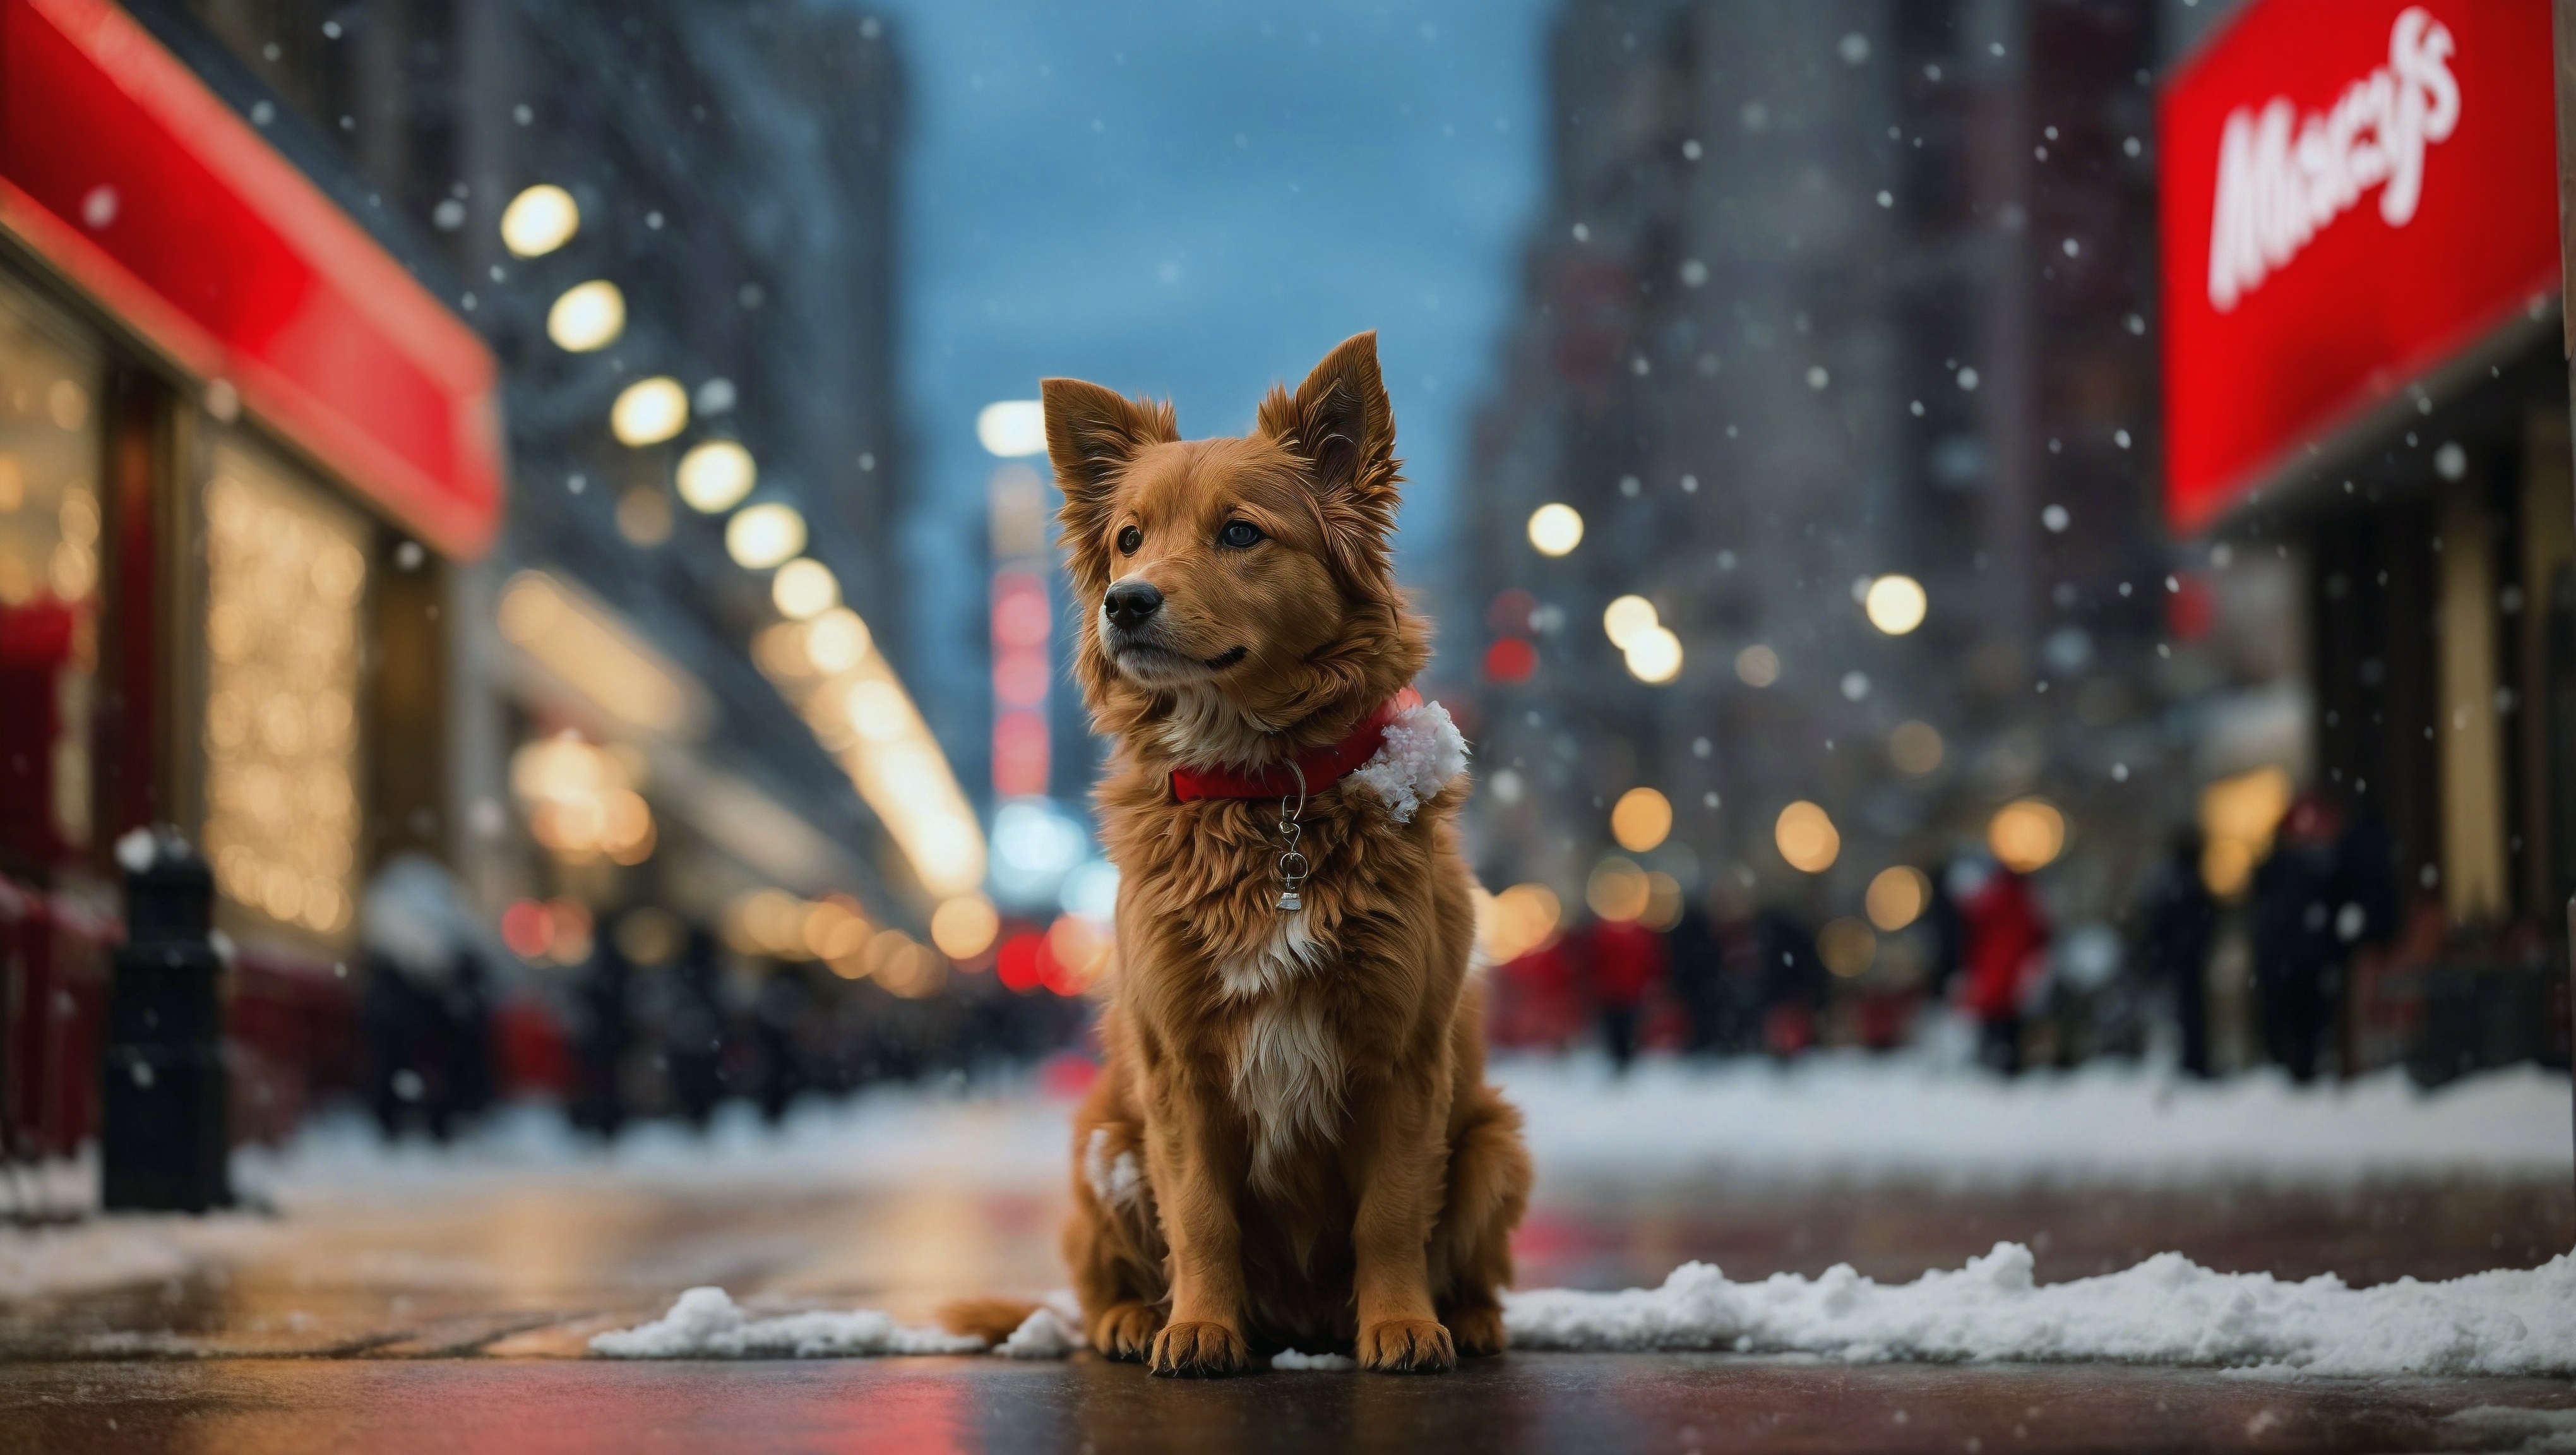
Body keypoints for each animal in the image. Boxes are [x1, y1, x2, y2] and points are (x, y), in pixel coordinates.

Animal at [948, 329, 1525, 1370]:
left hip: (1497, 1140)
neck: (1265, 794)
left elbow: (1391, 1213)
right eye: (1129, 538)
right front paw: (1203, 1330)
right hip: (1104, 1140)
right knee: (1100, 1282)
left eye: (1242, 534)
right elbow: (1201, 1216)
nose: (1126, 603)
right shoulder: (1178, 1070)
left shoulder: (1403, 1057)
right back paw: (1135, 1320)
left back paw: (1468, 1317)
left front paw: (1402, 1326)